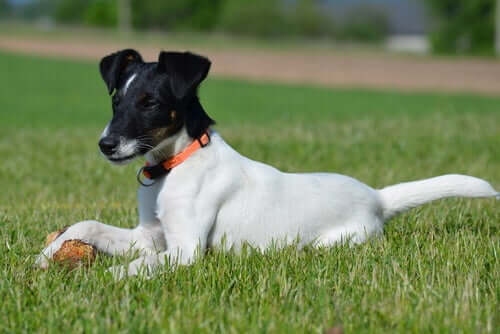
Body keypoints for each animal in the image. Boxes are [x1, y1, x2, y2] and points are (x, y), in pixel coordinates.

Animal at [36, 50, 500, 280]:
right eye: (117, 101)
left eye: (150, 103)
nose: (106, 145)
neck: (177, 163)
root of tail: (377, 197)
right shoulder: (148, 236)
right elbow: (88, 226)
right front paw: (47, 255)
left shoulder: (184, 249)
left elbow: (138, 266)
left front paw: (101, 278)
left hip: (334, 241)